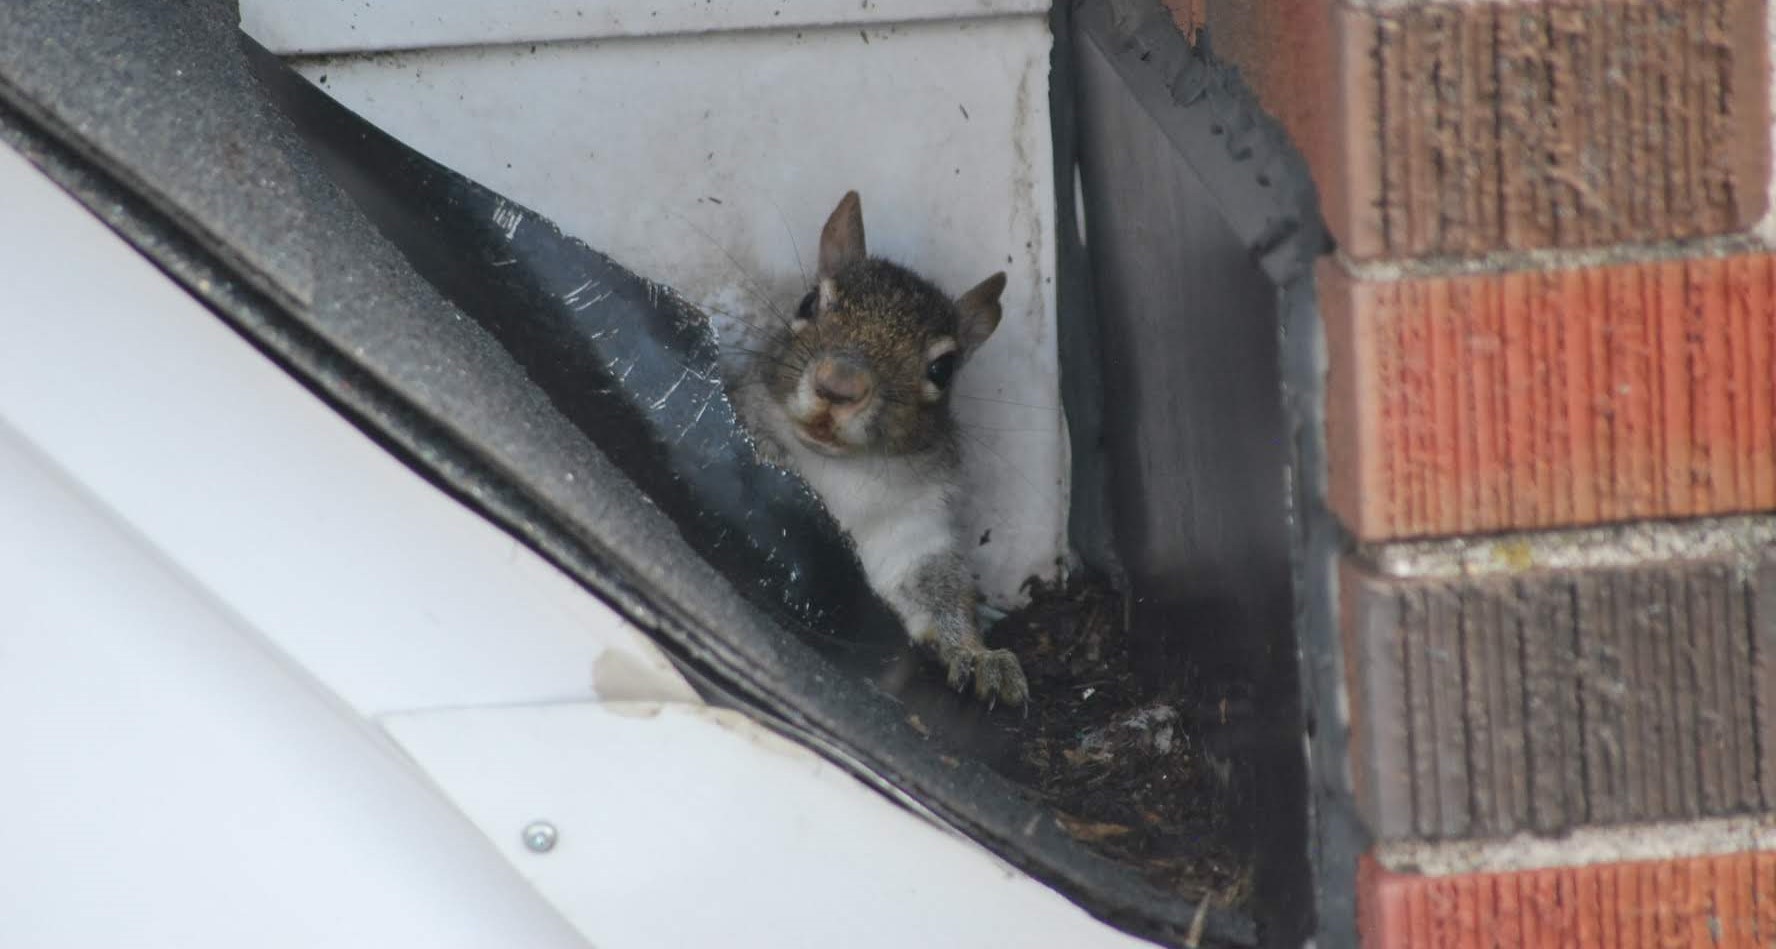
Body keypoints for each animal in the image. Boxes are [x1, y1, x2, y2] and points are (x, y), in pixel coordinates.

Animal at [731, 191, 1030, 707]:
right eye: (808, 301)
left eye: (943, 369)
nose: (839, 384)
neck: (840, 472)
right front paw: (770, 450)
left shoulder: (915, 534)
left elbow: (942, 595)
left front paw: (978, 655)